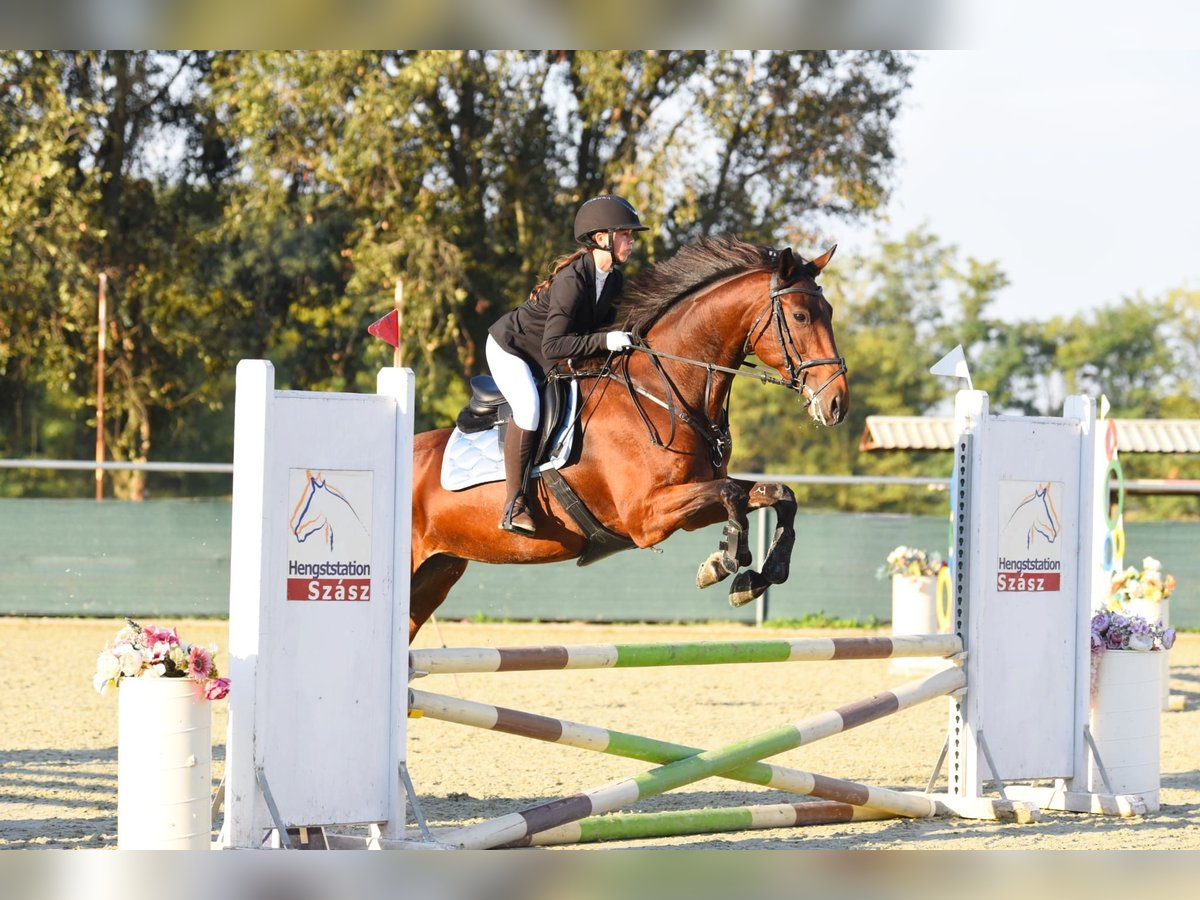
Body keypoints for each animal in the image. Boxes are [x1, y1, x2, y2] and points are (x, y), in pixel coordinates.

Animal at [408, 232, 849, 643]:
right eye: (800, 316)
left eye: (827, 311)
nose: (837, 404)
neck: (663, 392)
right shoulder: (646, 516)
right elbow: (732, 495)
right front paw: (723, 563)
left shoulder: (690, 501)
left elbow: (778, 494)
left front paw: (759, 576)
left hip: (436, 573)